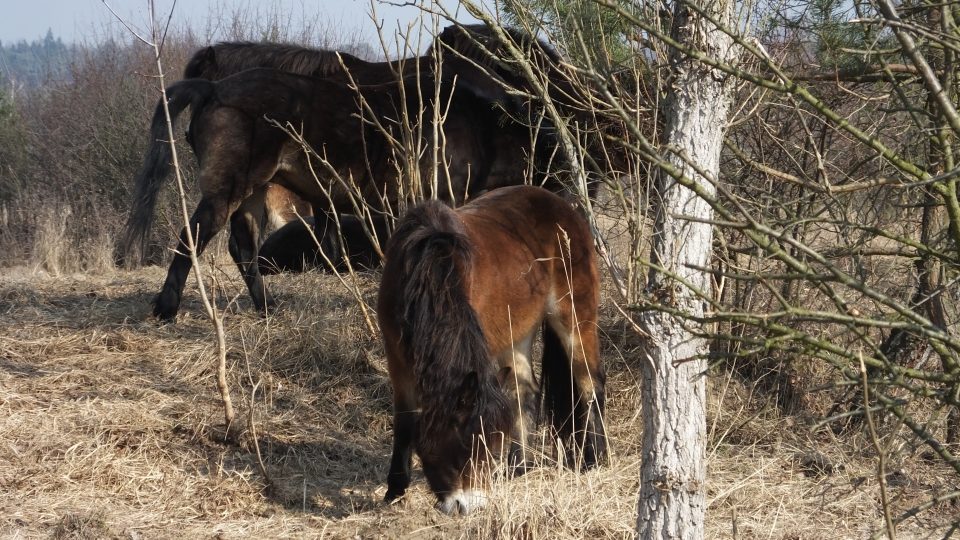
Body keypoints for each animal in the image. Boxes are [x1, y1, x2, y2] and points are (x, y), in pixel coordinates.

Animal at [378, 186, 604, 516]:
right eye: (464, 446)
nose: (468, 506)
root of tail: (565, 208)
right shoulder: (397, 359)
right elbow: (405, 420)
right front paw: (394, 491)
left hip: (576, 318)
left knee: (590, 385)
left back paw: (595, 461)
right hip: (518, 334)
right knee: (526, 391)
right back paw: (518, 468)